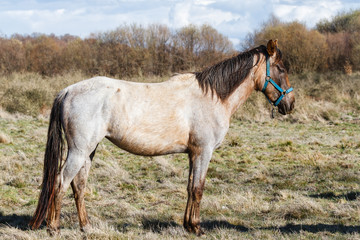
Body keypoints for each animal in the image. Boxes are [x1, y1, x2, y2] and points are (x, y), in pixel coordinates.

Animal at [29, 39, 296, 236]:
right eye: (281, 69)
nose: (291, 104)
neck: (212, 97)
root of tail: (67, 91)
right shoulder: (204, 151)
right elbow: (199, 188)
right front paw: (197, 228)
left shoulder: (193, 154)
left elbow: (190, 187)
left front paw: (188, 225)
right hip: (78, 151)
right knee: (60, 183)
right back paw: (54, 228)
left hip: (88, 151)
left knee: (79, 185)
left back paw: (86, 227)